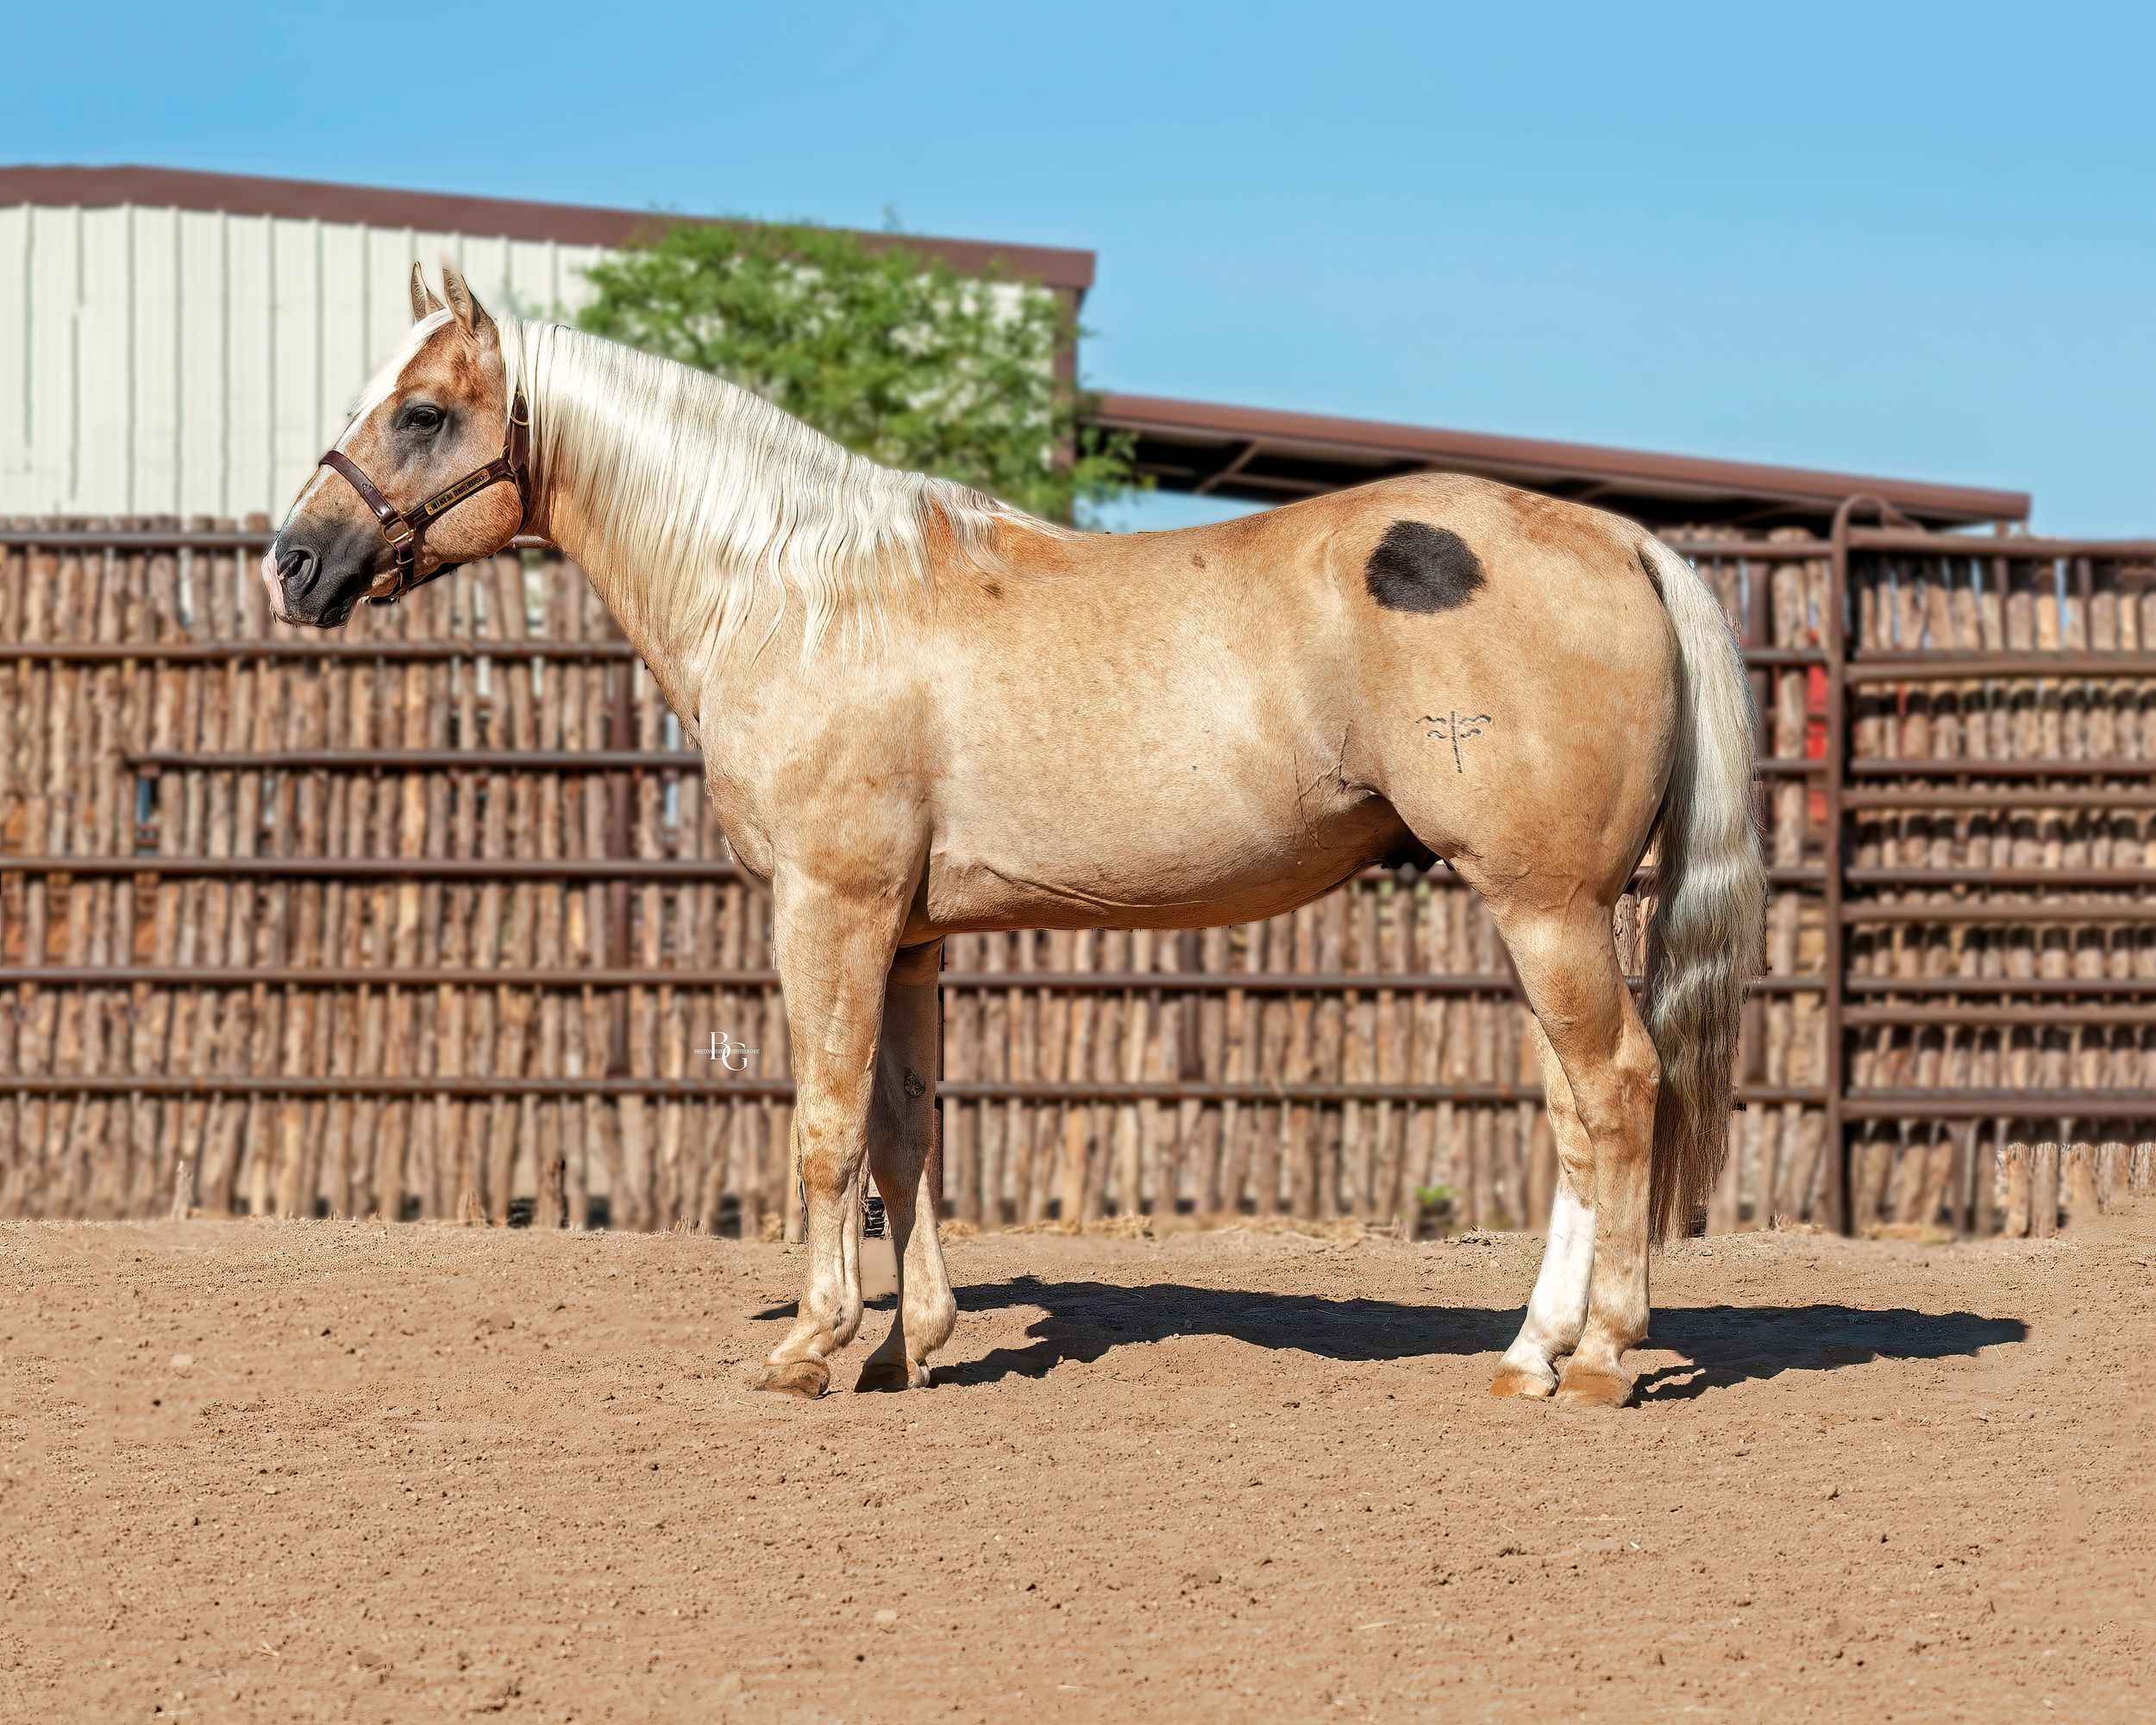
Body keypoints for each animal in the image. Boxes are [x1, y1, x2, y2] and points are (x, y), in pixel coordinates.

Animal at [263, 263, 1766, 1407]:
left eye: (422, 412)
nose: (293, 564)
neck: (800, 595)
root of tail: (1626, 542)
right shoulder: (912, 938)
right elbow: (904, 1134)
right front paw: (911, 1350)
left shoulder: (831, 911)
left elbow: (824, 1128)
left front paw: (813, 1349)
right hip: (1546, 911)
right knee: (1577, 1112)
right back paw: (1530, 1353)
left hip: (1547, 905)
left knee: (1620, 1091)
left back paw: (1603, 1359)